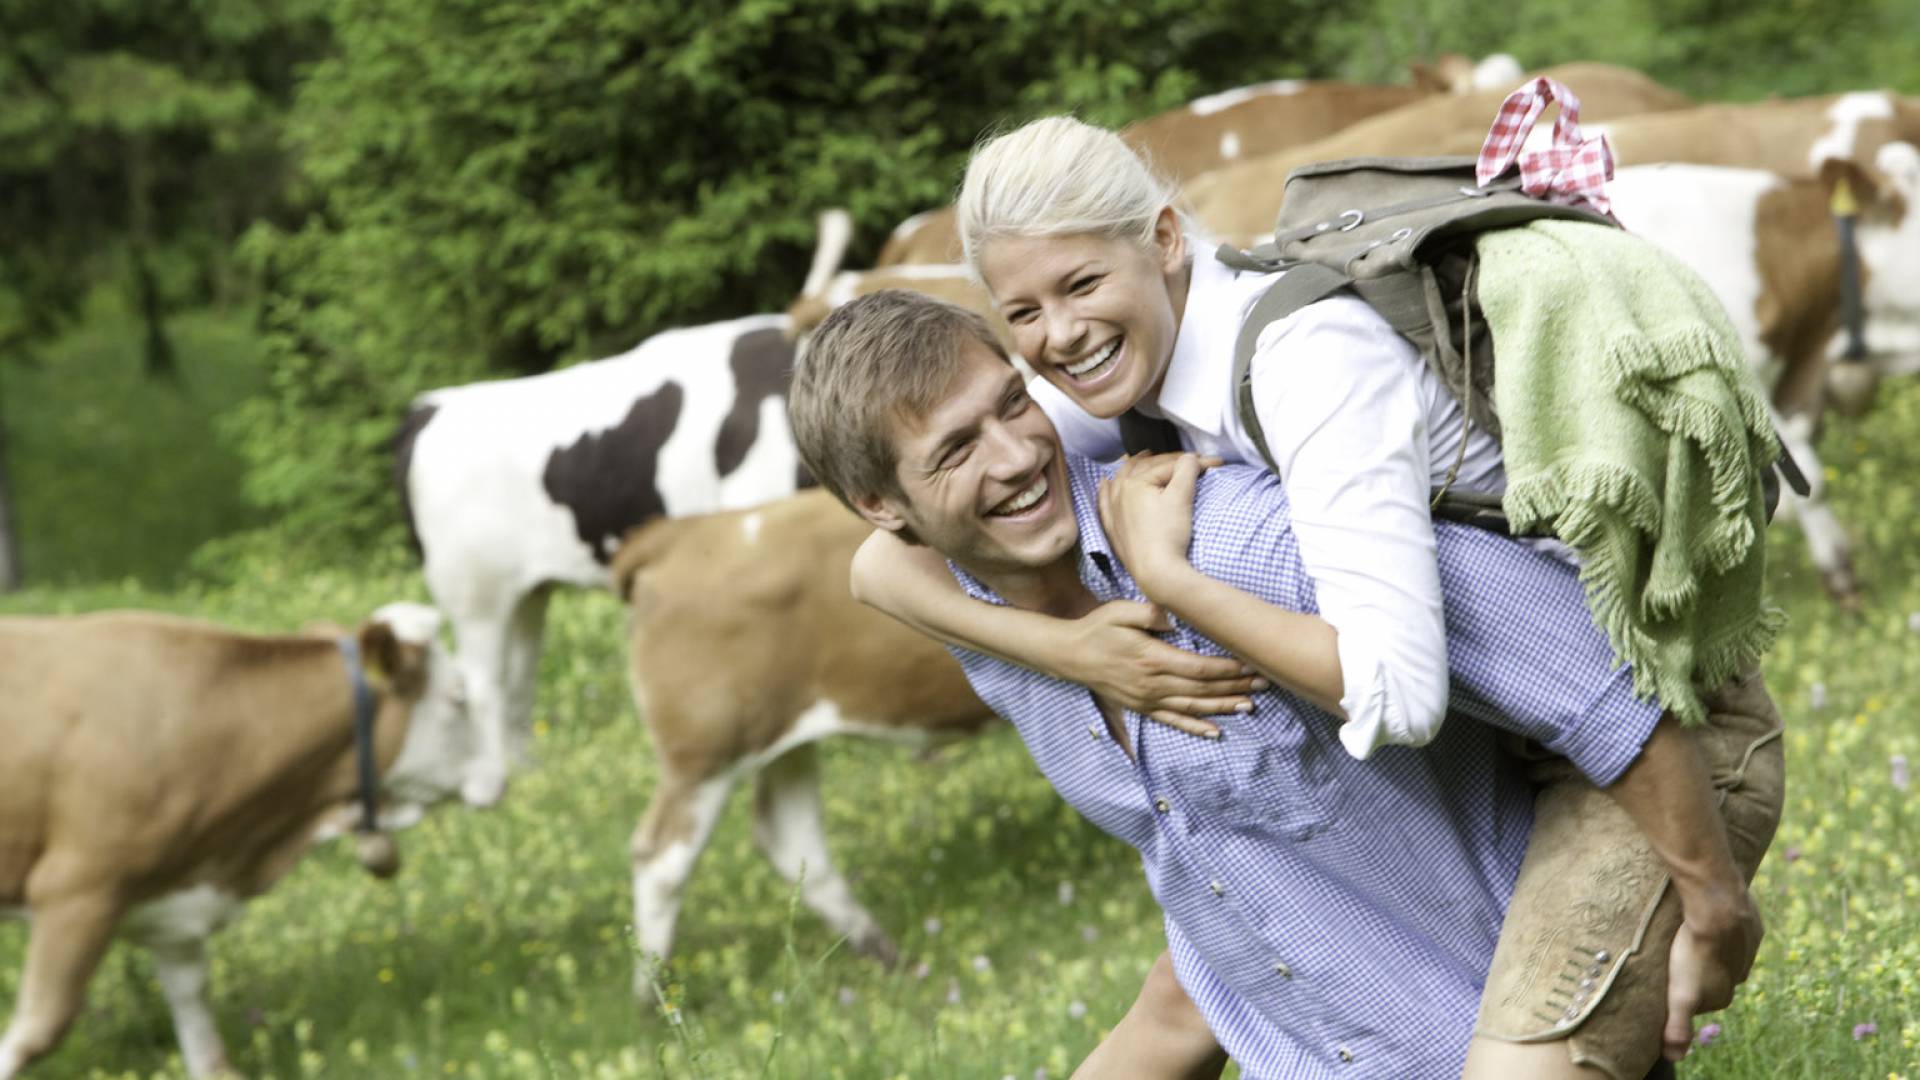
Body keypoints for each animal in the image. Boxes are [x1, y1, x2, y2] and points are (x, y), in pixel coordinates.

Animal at [0, 599, 476, 1076]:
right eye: (458, 699)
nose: (496, 773)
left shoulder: (174, 903)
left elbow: (199, 1021)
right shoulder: (78, 888)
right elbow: (39, 1027)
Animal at [606, 488, 990, 991]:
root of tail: (678, 535)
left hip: (782, 743)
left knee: (789, 838)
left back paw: (887, 954)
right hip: (706, 753)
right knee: (662, 859)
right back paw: (653, 994)